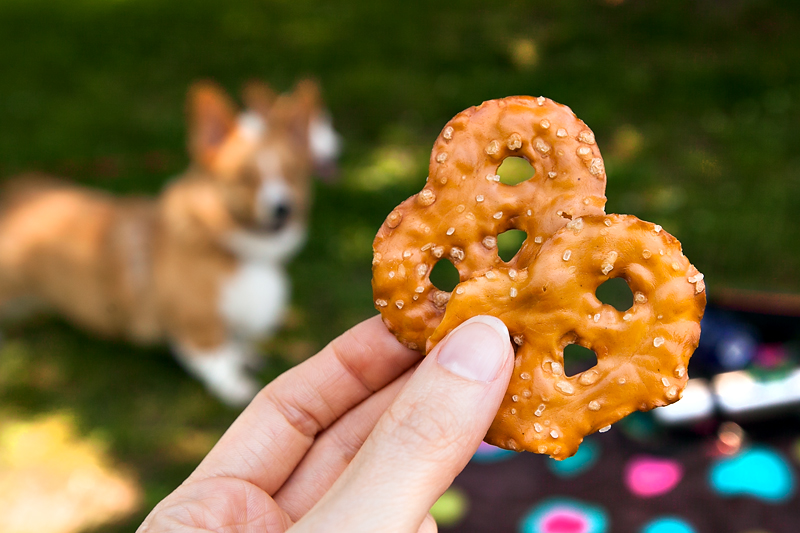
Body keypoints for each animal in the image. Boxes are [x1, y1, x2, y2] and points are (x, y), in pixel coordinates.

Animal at [0, 78, 340, 404]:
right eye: (245, 177)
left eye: (291, 173)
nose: (283, 208)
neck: (225, 247)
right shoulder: (196, 324)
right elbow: (218, 361)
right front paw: (235, 387)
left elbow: (236, 343)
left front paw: (245, 356)